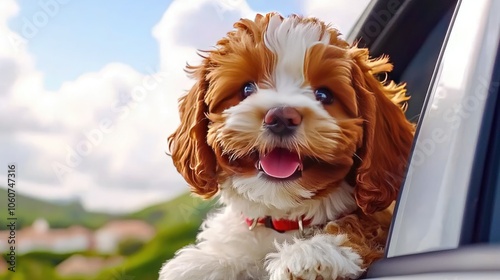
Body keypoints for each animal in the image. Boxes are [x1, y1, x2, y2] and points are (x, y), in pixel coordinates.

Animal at [160, 12, 414, 280]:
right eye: (247, 88)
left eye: (324, 95)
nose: (281, 116)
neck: (282, 217)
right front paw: (207, 262)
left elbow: (358, 228)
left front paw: (312, 251)